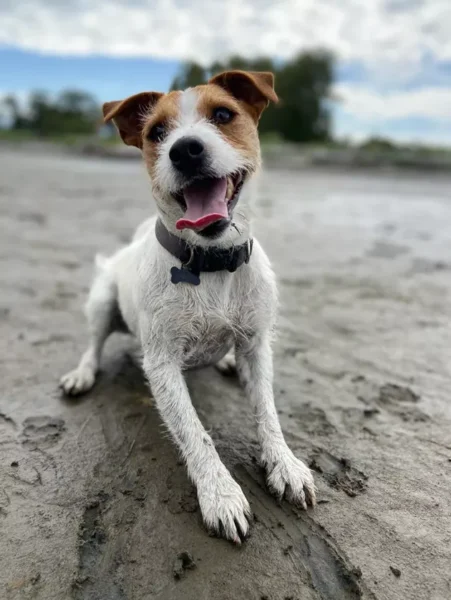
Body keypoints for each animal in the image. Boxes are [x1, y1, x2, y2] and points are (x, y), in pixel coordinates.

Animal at [60, 70, 316, 544]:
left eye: (223, 115)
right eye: (157, 133)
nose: (185, 150)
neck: (212, 263)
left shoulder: (257, 345)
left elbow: (267, 411)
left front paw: (284, 463)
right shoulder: (162, 365)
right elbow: (196, 433)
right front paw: (220, 494)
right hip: (102, 302)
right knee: (93, 344)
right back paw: (82, 373)